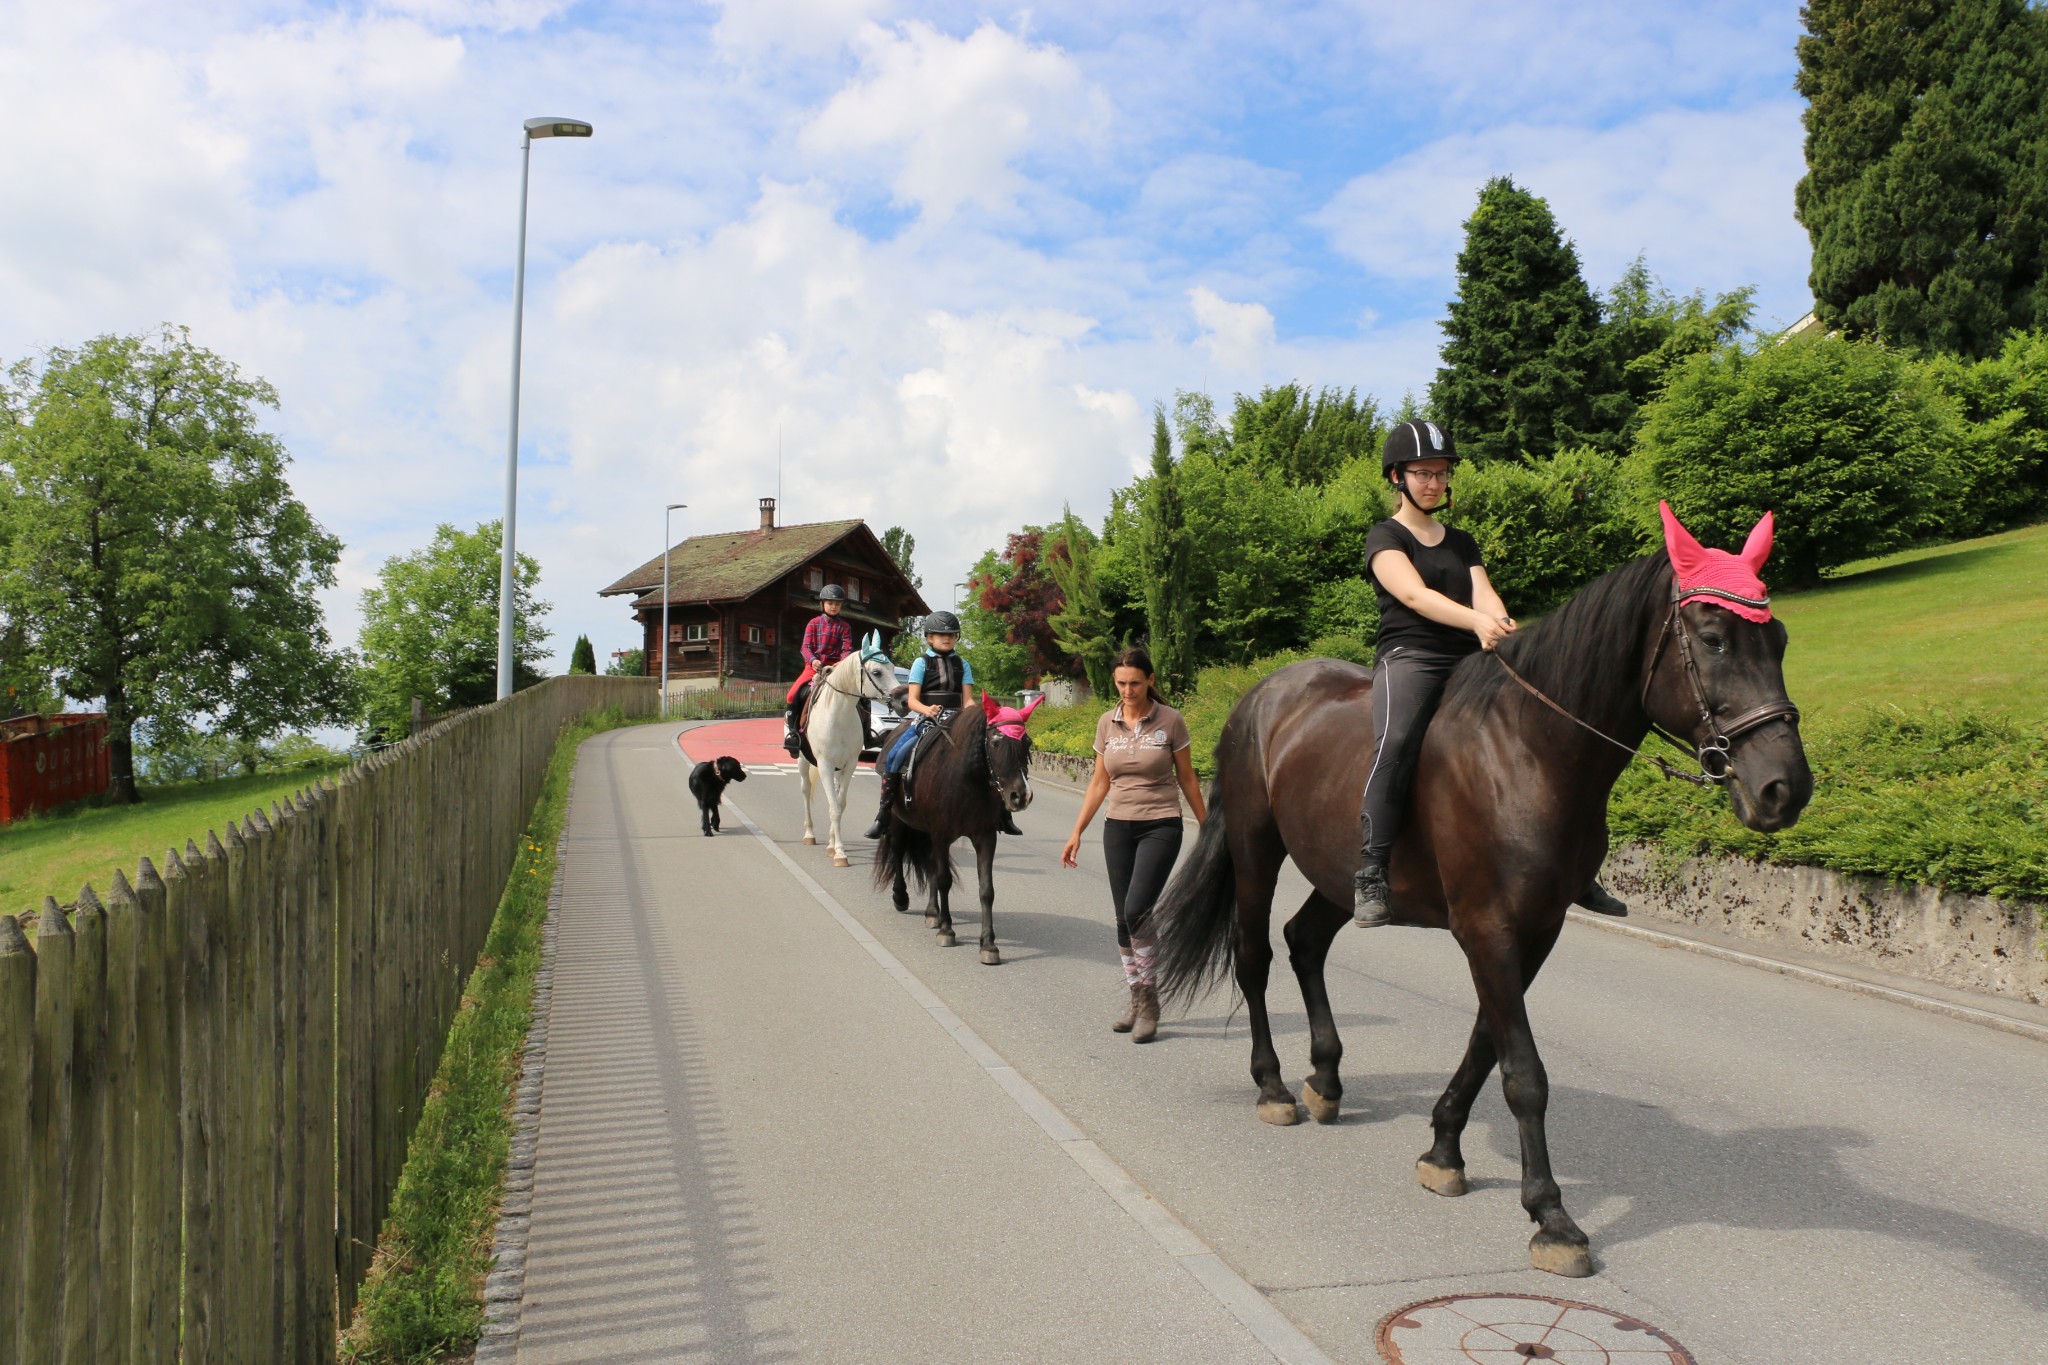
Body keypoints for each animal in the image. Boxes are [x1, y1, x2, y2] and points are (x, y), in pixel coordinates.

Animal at [794, 634, 901, 871]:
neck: (838, 714)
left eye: (891, 667)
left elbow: (840, 805)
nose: (903, 700)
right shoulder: (824, 765)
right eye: (877, 672)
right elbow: (833, 807)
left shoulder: (850, 764)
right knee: (805, 790)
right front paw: (840, 854)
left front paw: (834, 847)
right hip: (804, 761)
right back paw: (809, 834)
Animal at [876, 695, 1040, 970]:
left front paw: (988, 945)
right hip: (900, 820)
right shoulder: (941, 833)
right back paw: (901, 897)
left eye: (1026, 742)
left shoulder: (984, 837)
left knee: (930, 865)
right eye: (995, 742)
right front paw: (947, 931)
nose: (1020, 796)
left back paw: (932, 913)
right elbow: (944, 880)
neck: (967, 779)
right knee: (898, 852)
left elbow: (986, 890)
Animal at [1155, 505, 1810, 1285]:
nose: (1785, 788)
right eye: (1713, 639)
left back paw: (1326, 1077)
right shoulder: (1486, 928)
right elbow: (1523, 1070)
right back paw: (1275, 1086)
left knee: (1304, 941)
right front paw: (1551, 1216)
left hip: (1337, 874)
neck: (1530, 751)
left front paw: (1443, 1149)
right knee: (1253, 955)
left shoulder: (1534, 929)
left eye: (1778, 638)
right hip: (1257, 851)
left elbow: (1485, 1043)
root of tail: (1260, 695)